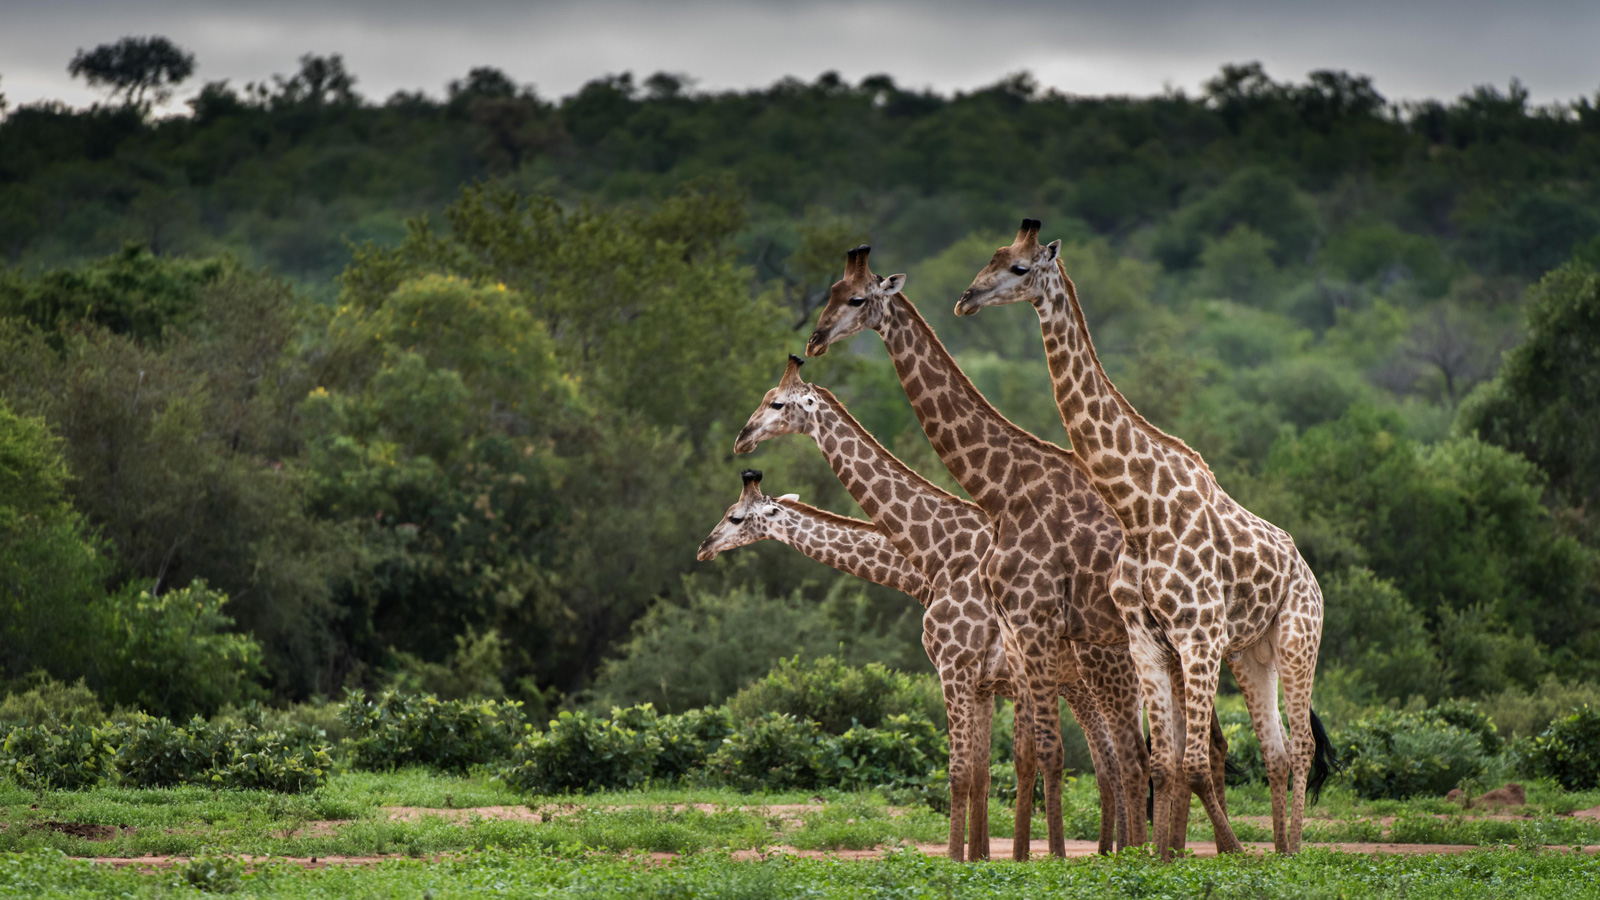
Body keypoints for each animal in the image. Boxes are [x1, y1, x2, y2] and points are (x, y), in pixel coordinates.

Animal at [732, 355, 1132, 851]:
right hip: (1082, 682)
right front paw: (982, 854)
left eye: (776, 402)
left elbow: (983, 769)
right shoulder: (989, 682)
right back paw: (1116, 849)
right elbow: (985, 772)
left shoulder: (967, 669)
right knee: (1117, 761)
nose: (742, 438)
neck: (934, 559)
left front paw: (970, 857)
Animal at [812, 246, 1164, 851]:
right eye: (830, 291)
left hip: (1121, 658)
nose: (814, 339)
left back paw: (1143, 851)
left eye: (856, 299)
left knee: (1143, 756)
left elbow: (1024, 759)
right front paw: (989, 855)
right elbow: (996, 765)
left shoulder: (1007, 641)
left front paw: (1033, 857)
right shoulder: (1004, 660)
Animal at [953, 219, 1331, 851]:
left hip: (1299, 637)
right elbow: (1161, 763)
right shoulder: (1147, 641)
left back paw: (1293, 852)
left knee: (1300, 747)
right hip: (1252, 653)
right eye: (991, 258)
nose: (965, 299)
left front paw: (1228, 853)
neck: (1139, 510)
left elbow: (1193, 763)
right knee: (1277, 752)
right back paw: (1281, 850)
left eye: (1019, 268)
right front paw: (1158, 858)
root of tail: (1305, 570)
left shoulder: (1198, 634)